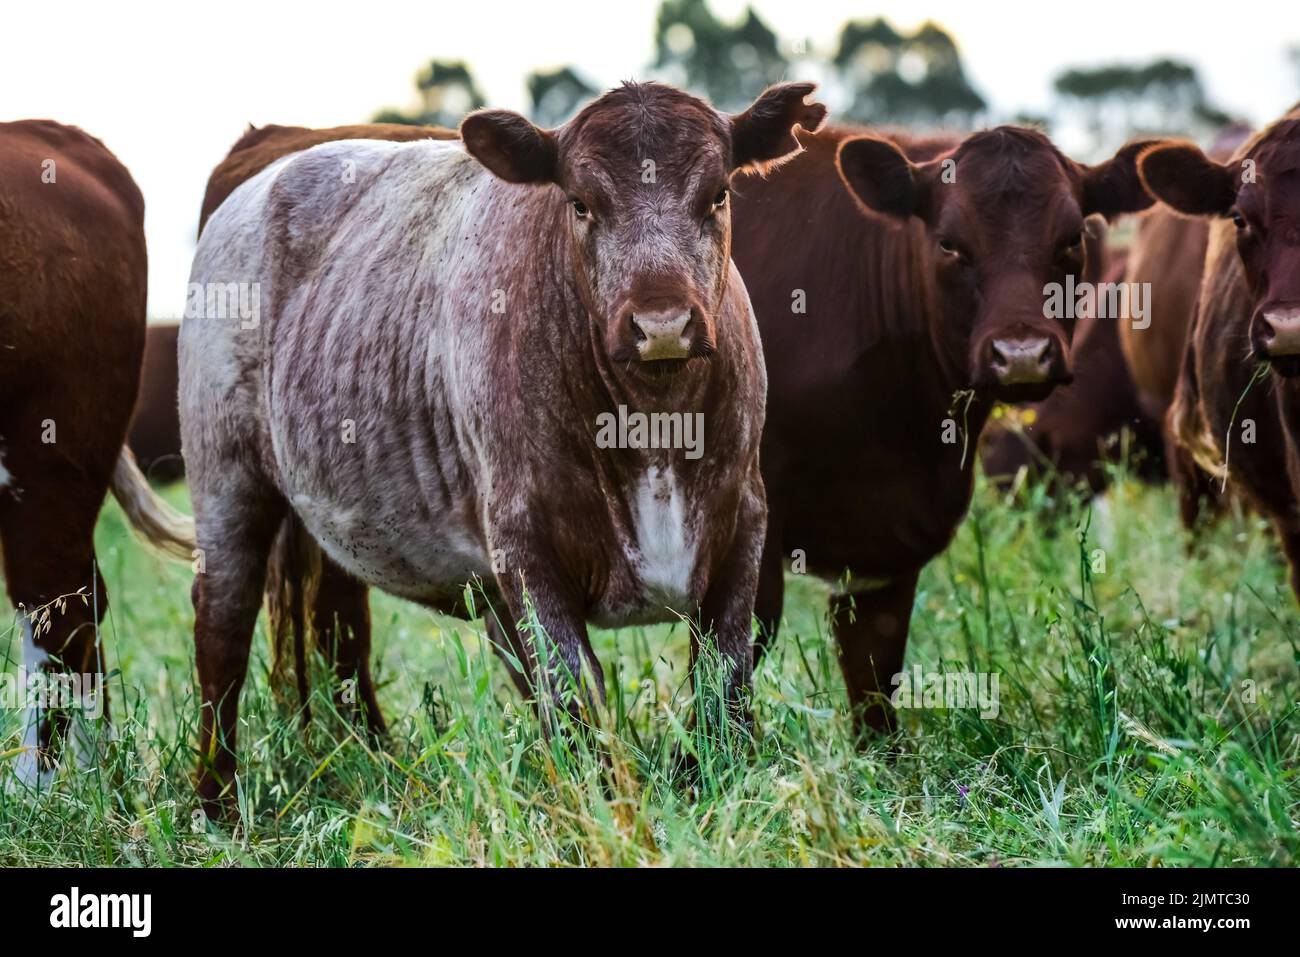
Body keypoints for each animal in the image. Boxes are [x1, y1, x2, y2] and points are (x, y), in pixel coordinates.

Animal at [181, 81, 826, 814]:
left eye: (717, 194)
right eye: (581, 203)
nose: (661, 324)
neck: (654, 424)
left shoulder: (744, 524)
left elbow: (723, 684)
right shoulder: (525, 546)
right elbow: (576, 693)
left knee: (339, 628)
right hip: (226, 480)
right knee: (222, 629)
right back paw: (217, 800)